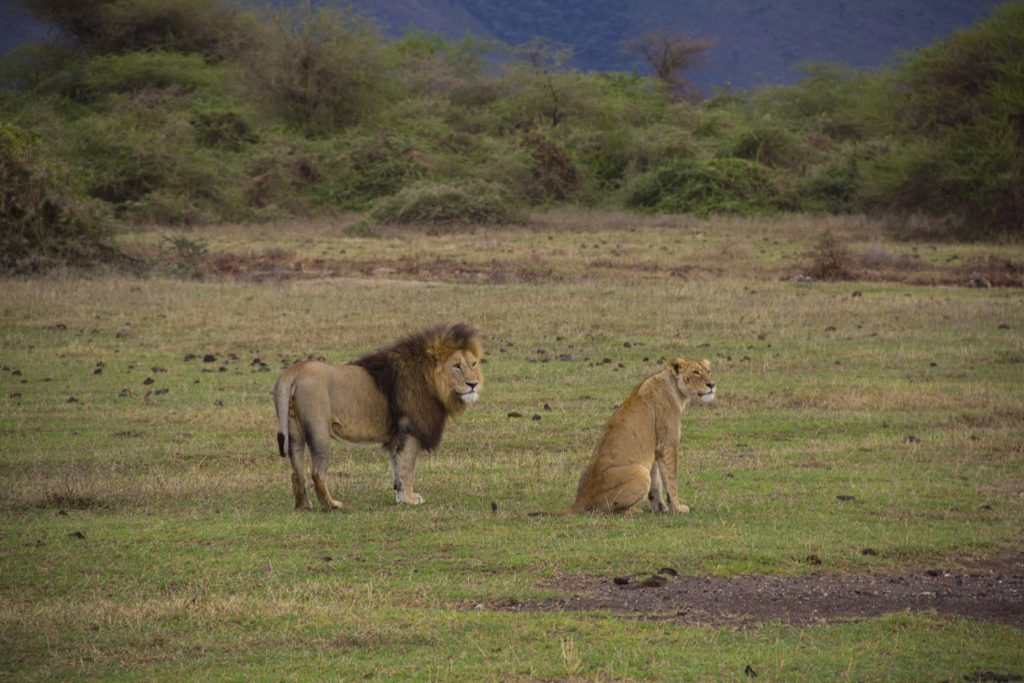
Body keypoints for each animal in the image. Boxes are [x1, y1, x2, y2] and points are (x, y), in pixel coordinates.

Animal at [270, 323, 481, 509]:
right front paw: (410, 499)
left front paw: (401, 497)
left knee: (296, 472)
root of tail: (294, 372)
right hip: (319, 430)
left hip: (294, 433)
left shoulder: (397, 436)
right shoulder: (410, 431)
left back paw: (304, 505)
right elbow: (407, 467)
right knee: (316, 473)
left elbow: (397, 468)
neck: (431, 382)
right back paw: (331, 505)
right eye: (456, 366)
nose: (474, 384)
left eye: (473, 364)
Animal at [561, 360, 712, 516]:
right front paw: (677, 508)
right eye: (696, 372)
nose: (712, 385)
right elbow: (671, 479)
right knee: (603, 510)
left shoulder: (655, 448)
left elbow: (656, 481)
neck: (675, 387)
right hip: (640, 473)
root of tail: (579, 501)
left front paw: (660, 507)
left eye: (709, 371)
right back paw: (633, 510)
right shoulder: (668, 444)